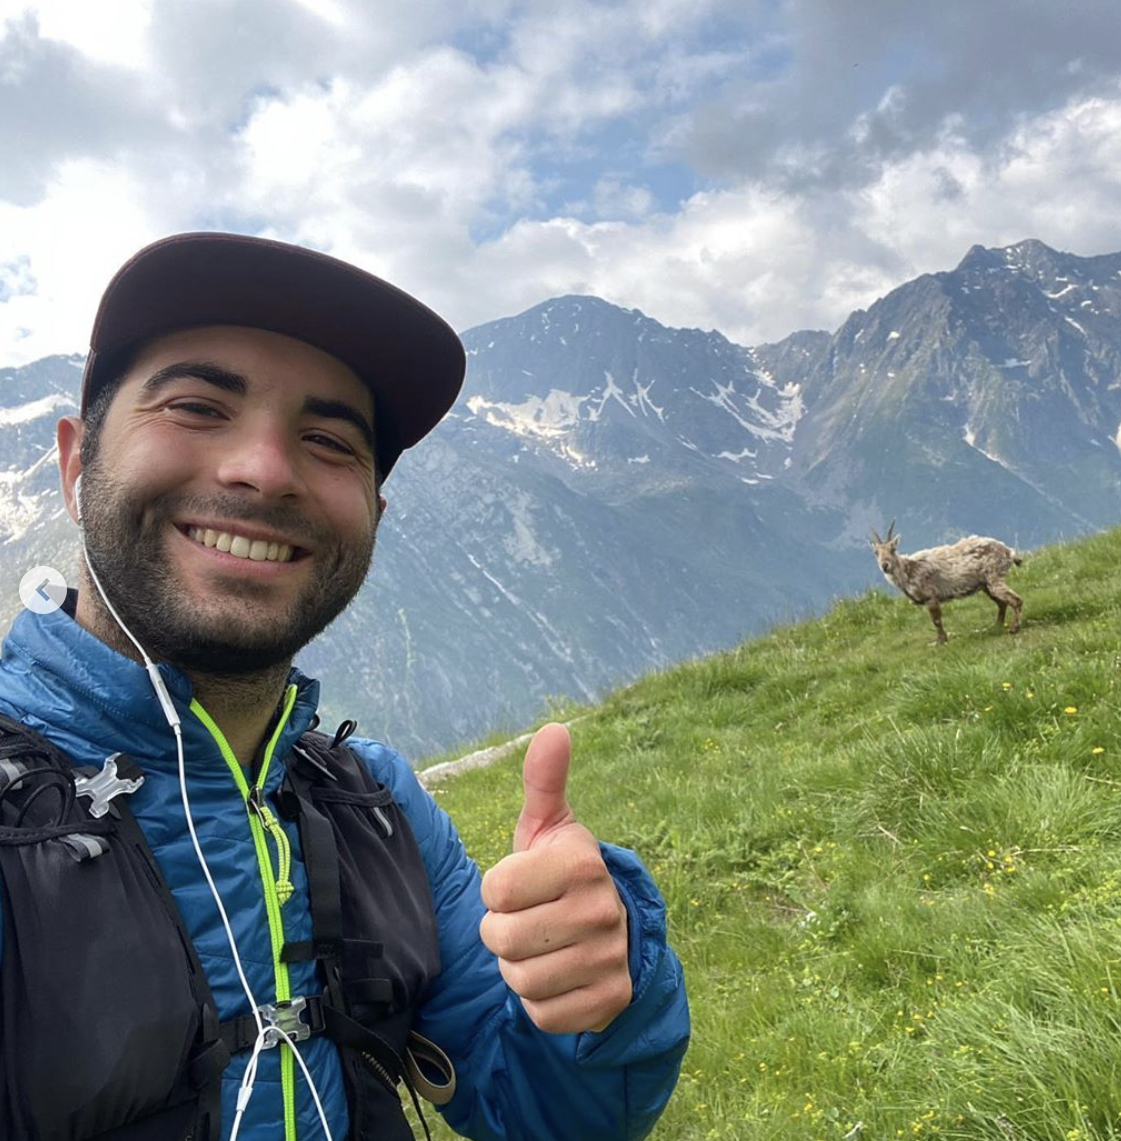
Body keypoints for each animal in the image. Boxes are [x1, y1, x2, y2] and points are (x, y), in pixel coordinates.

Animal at [872, 522, 1022, 643]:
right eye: (876, 552)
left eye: (893, 549)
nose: (885, 565)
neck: (909, 570)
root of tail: (1008, 551)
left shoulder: (930, 597)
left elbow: (936, 621)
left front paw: (940, 641)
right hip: (986, 585)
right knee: (1002, 603)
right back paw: (996, 626)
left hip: (994, 577)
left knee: (1015, 600)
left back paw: (1014, 628)